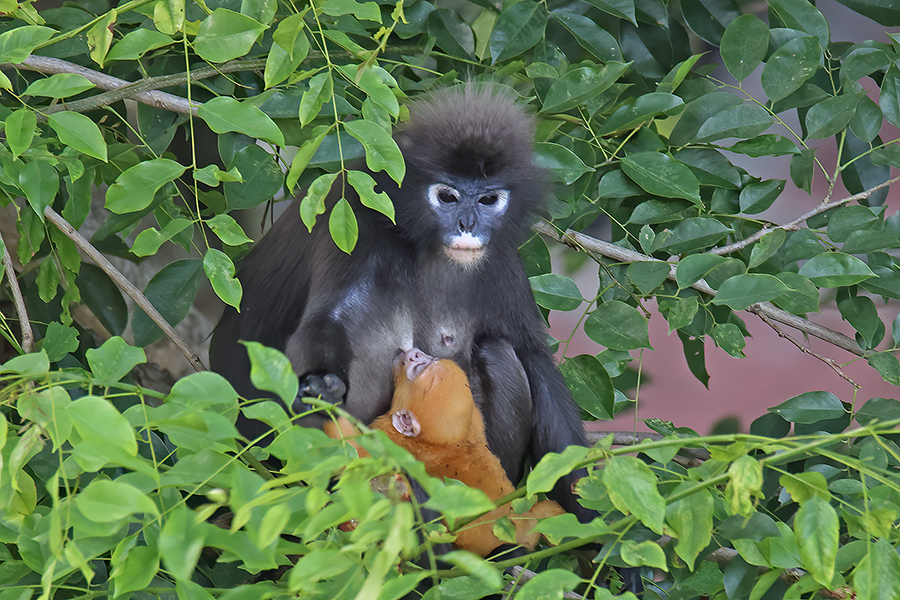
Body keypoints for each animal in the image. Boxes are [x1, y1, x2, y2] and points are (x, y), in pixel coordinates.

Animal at [325, 347, 564, 557]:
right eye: (426, 361)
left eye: (416, 369)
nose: (414, 354)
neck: (448, 443)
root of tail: (523, 523)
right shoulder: (475, 422)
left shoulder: (392, 442)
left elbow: (355, 457)